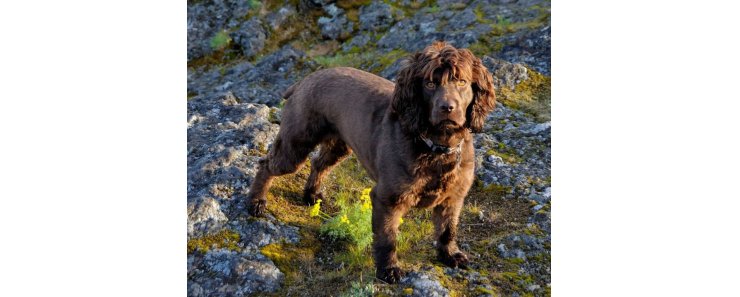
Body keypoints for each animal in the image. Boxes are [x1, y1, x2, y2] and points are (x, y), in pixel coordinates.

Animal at [249, 41, 498, 282]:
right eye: (429, 84)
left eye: (462, 82)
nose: (447, 108)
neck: (436, 147)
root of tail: (304, 81)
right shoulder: (387, 199)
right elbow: (387, 238)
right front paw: (388, 270)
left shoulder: (453, 197)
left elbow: (447, 230)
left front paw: (450, 255)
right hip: (296, 145)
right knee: (266, 165)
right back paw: (256, 203)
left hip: (339, 145)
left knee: (318, 164)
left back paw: (311, 195)